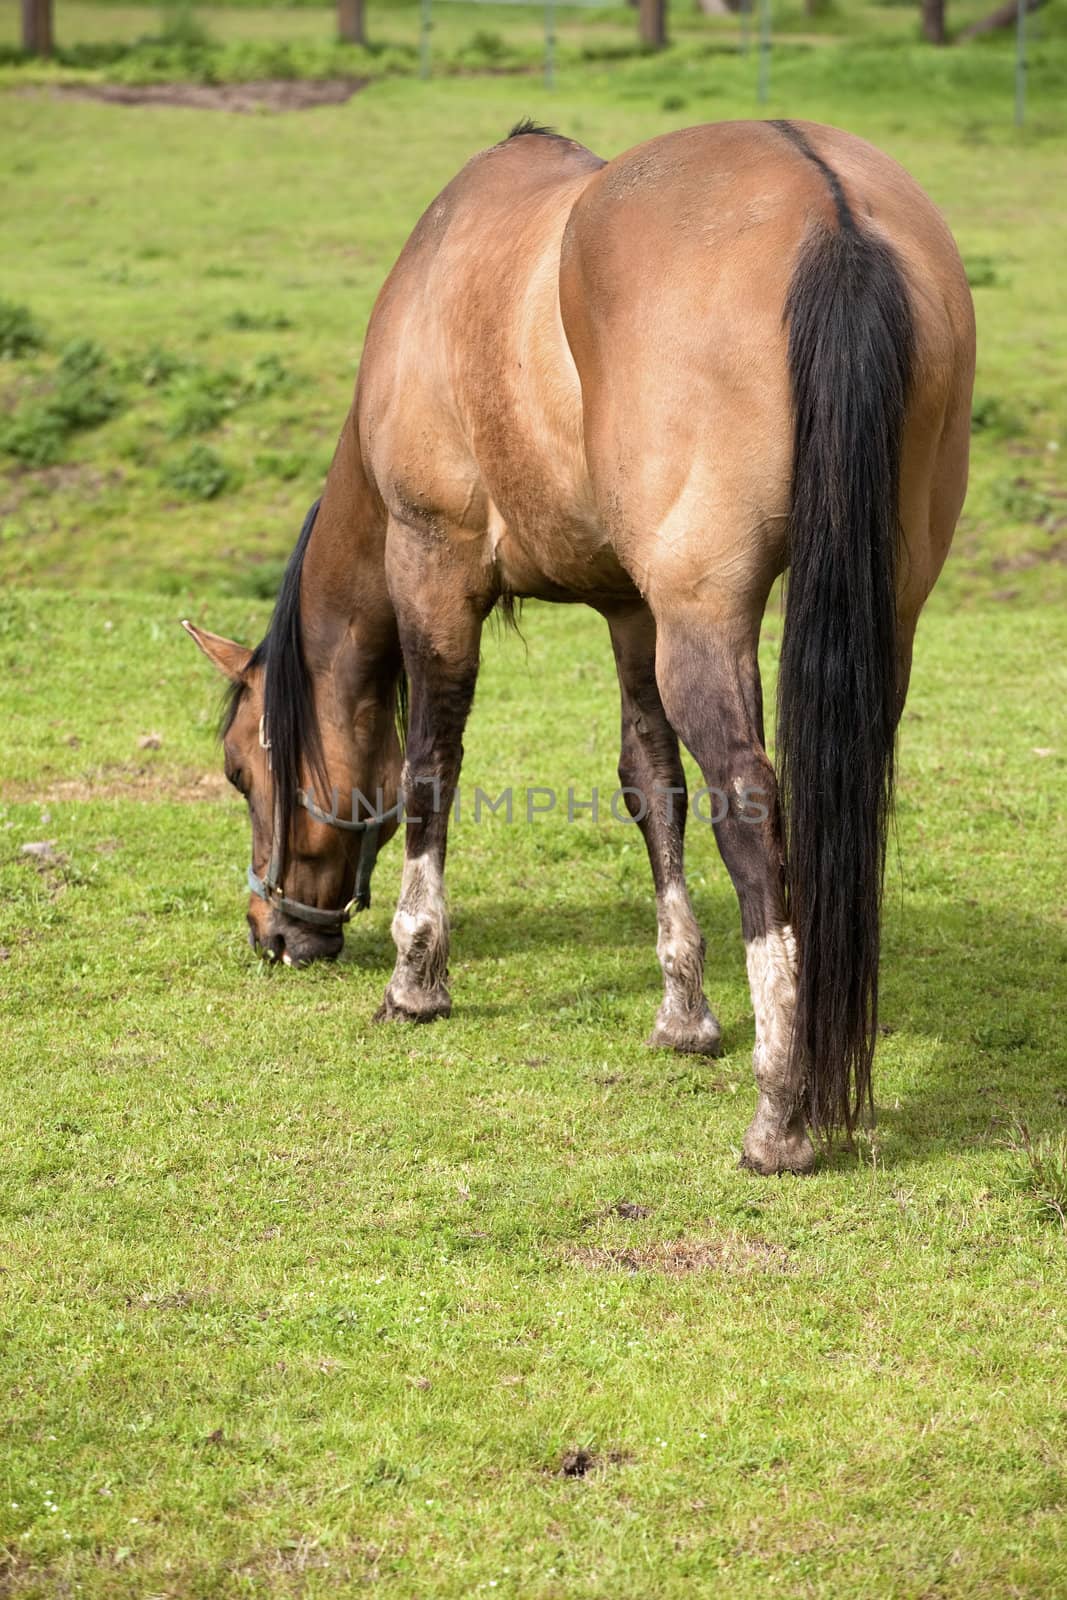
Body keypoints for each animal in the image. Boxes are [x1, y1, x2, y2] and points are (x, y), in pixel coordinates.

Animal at [185, 118, 979, 1177]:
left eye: (240, 773)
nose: (271, 931)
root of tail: (831, 209)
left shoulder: (435, 568)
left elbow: (431, 768)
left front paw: (415, 977)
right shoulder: (628, 610)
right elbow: (651, 786)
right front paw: (684, 1012)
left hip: (705, 617)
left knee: (750, 812)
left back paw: (780, 1111)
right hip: (875, 614)